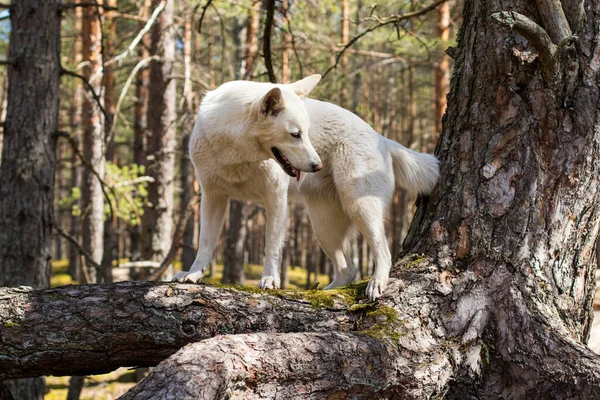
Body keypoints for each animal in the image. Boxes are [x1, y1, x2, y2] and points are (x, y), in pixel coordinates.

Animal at [173, 74, 440, 300]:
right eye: (295, 134)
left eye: (306, 133)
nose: (317, 165)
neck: (237, 153)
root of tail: (380, 138)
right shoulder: (212, 197)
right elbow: (205, 242)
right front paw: (193, 274)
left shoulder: (275, 199)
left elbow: (272, 246)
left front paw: (270, 280)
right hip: (323, 229)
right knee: (347, 270)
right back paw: (324, 293)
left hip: (360, 208)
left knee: (383, 252)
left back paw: (376, 283)